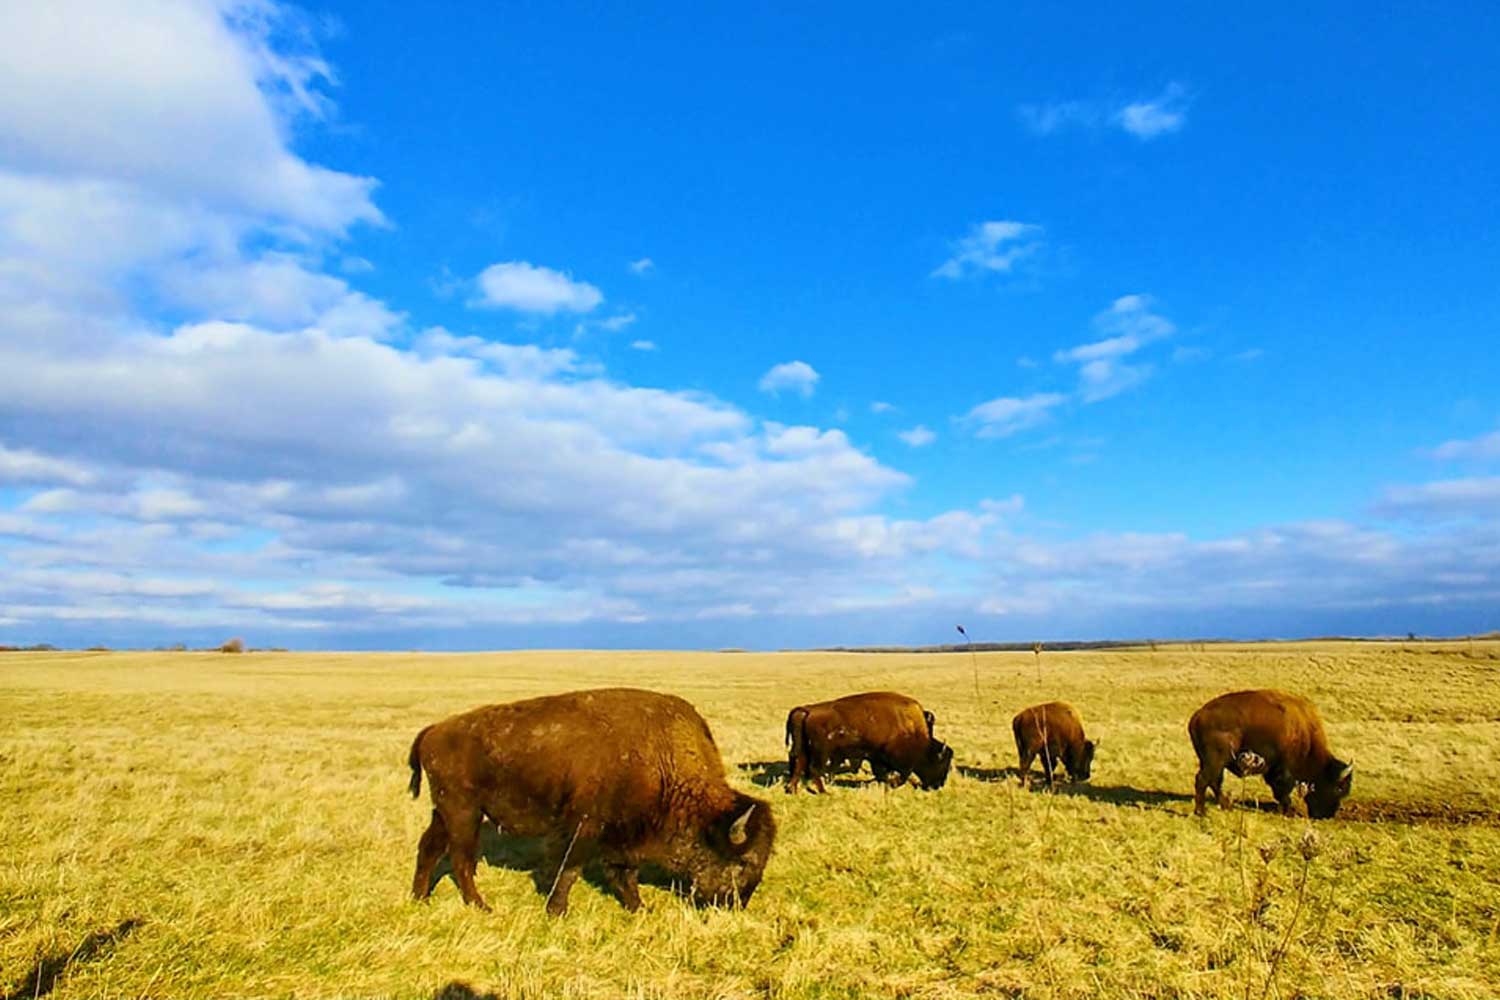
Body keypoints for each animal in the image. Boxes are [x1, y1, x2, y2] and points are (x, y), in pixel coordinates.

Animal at [408, 689, 774, 917]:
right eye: (744, 862)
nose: (735, 905)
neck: (660, 758)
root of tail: (433, 731)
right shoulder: (584, 827)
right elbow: (571, 870)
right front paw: (557, 912)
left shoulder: (624, 836)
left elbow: (624, 874)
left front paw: (639, 908)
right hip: (464, 813)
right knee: (460, 860)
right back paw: (481, 906)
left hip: (444, 813)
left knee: (429, 848)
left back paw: (420, 898)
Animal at [780, 692, 954, 791]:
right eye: (942, 763)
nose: (938, 786)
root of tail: (806, 710)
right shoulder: (897, 761)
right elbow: (901, 775)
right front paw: (892, 784)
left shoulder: (876, 758)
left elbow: (881, 774)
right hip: (822, 752)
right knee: (814, 768)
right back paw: (824, 792)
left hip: (804, 747)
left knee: (799, 763)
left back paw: (792, 789)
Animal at [1188, 689, 1356, 821]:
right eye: (1339, 788)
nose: (1328, 815)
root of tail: (1197, 716)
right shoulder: (1284, 770)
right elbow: (1283, 791)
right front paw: (1288, 812)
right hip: (1215, 760)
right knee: (1203, 779)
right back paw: (1201, 812)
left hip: (1212, 762)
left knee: (1214, 781)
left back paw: (1225, 806)